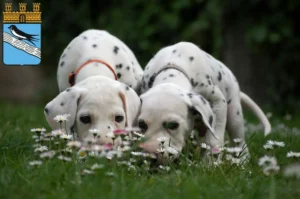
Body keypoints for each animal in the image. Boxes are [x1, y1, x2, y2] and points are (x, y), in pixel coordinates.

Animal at [138, 41, 272, 162]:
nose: (151, 155)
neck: (175, 63)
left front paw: (210, 164)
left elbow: (214, 140)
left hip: (234, 115)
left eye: (173, 125)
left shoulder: (218, 101)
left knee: (239, 141)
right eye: (141, 125)